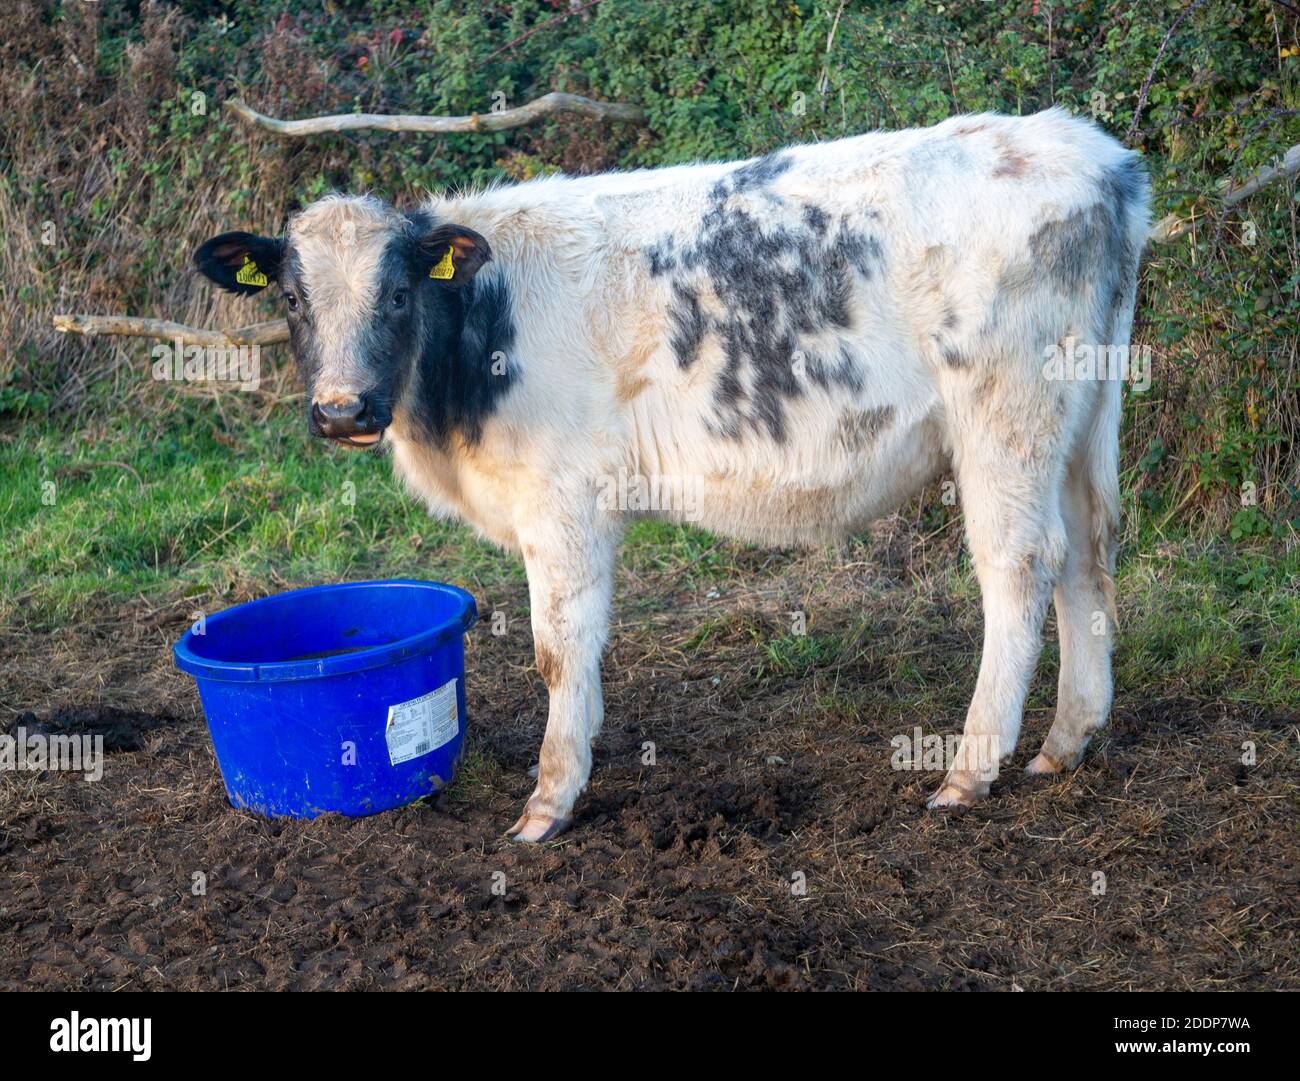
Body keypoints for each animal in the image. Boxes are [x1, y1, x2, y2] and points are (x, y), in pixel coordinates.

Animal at [194, 108, 1149, 842]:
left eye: (397, 294)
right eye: (292, 300)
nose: (342, 409)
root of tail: (1092, 153)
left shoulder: (564, 503)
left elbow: (556, 647)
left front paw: (548, 802)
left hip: (1003, 419)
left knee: (1020, 568)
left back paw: (970, 769)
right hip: (1080, 420)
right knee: (1088, 556)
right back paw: (1067, 740)